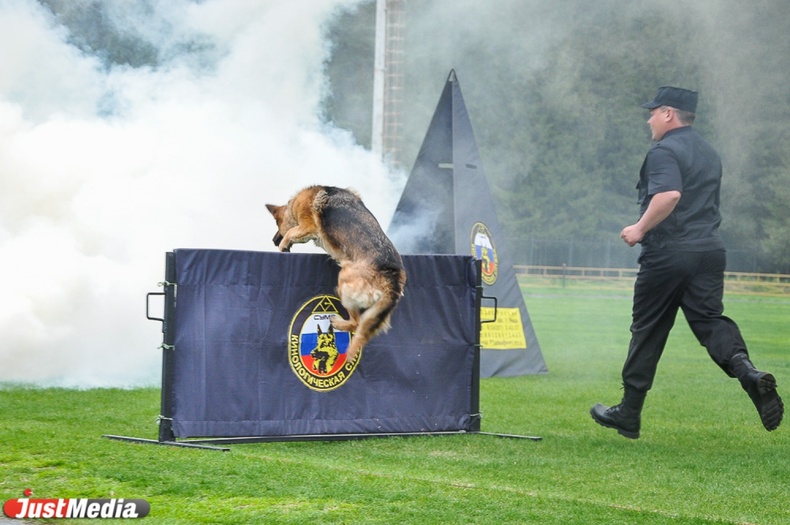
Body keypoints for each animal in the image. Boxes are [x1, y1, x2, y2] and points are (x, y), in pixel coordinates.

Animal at [266, 185, 406, 362]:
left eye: (277, 225)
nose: (273, 241)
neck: (294, 205)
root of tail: (393, 279)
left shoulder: (307, 227)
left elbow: (291, 232)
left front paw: (282, 246)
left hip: (344, 285)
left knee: (356, 323)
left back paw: (339, 323)